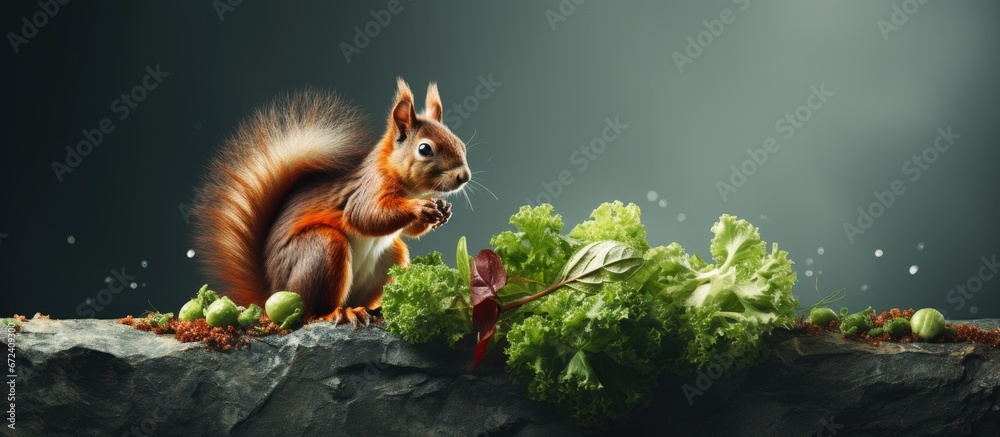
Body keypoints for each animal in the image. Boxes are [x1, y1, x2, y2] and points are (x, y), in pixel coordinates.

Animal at [196, 77, 476, 324]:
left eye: (461, 144)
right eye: (425, 149)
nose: (464, 176)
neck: (411, 189)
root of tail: (272, 292)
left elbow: (409, 231)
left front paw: (442, 210)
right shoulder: (368, 190)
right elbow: (366, 216)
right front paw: (420, 209)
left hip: (392, 257)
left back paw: (370, 310)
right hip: (323, 249)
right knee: (312, 311)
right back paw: (338, 313)